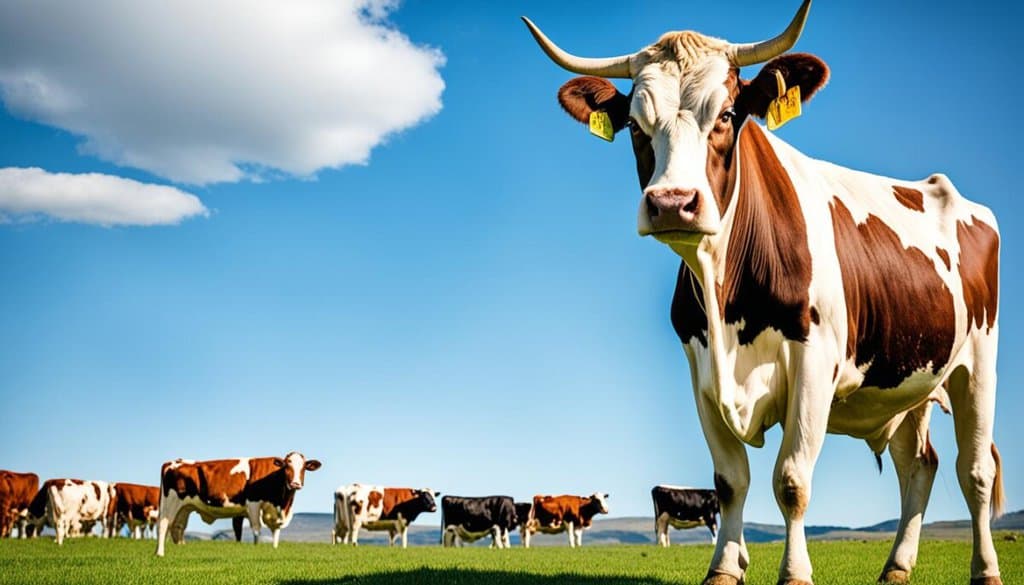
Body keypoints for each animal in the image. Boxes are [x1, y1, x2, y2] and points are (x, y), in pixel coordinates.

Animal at [155, 452, 321, 556]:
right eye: (287, 466)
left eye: (304, 467)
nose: (295, 484)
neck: (282, 503)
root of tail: (173, 462)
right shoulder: (253, 504)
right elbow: (256, 529)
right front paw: (257, 549)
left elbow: (276, 532)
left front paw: (274, 549)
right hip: (169, 502)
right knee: (163, 525)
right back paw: (159, 553)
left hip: (184, 508)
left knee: (177, 527)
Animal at [523, 1, 1003, 583]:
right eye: (635, 125)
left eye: (728, 115)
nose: (672, 202)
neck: (723, 294)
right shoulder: (700, 370)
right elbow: (730, 480)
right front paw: (725, 567)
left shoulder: (814, 361)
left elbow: (791, 480)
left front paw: (794, 571)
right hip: (907, 382)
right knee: (919, 464)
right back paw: (896, 566)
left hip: (976, 364)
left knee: (974, 471)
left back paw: (985, 567)